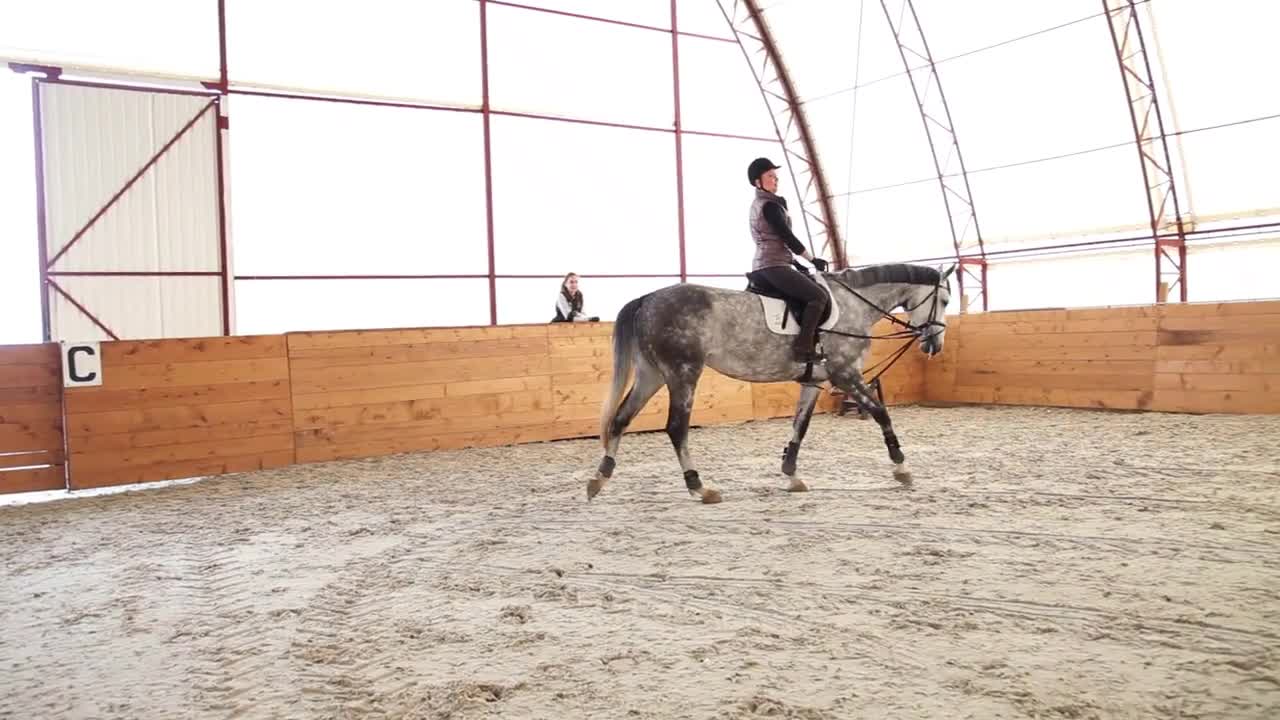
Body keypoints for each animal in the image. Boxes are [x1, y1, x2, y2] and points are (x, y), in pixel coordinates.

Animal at [586, 260, 952, 502]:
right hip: (683, 372)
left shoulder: (814, 382)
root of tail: (646, 299)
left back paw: (599, 479)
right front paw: (901, 469)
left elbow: (800, 427)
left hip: (652, 374)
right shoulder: (845, 374)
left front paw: (792, 475)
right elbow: (881, 413)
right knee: (676, 427)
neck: (854, 305)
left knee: (620, 419)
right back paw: (699, 487)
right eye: (945, 300)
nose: (934, 346)